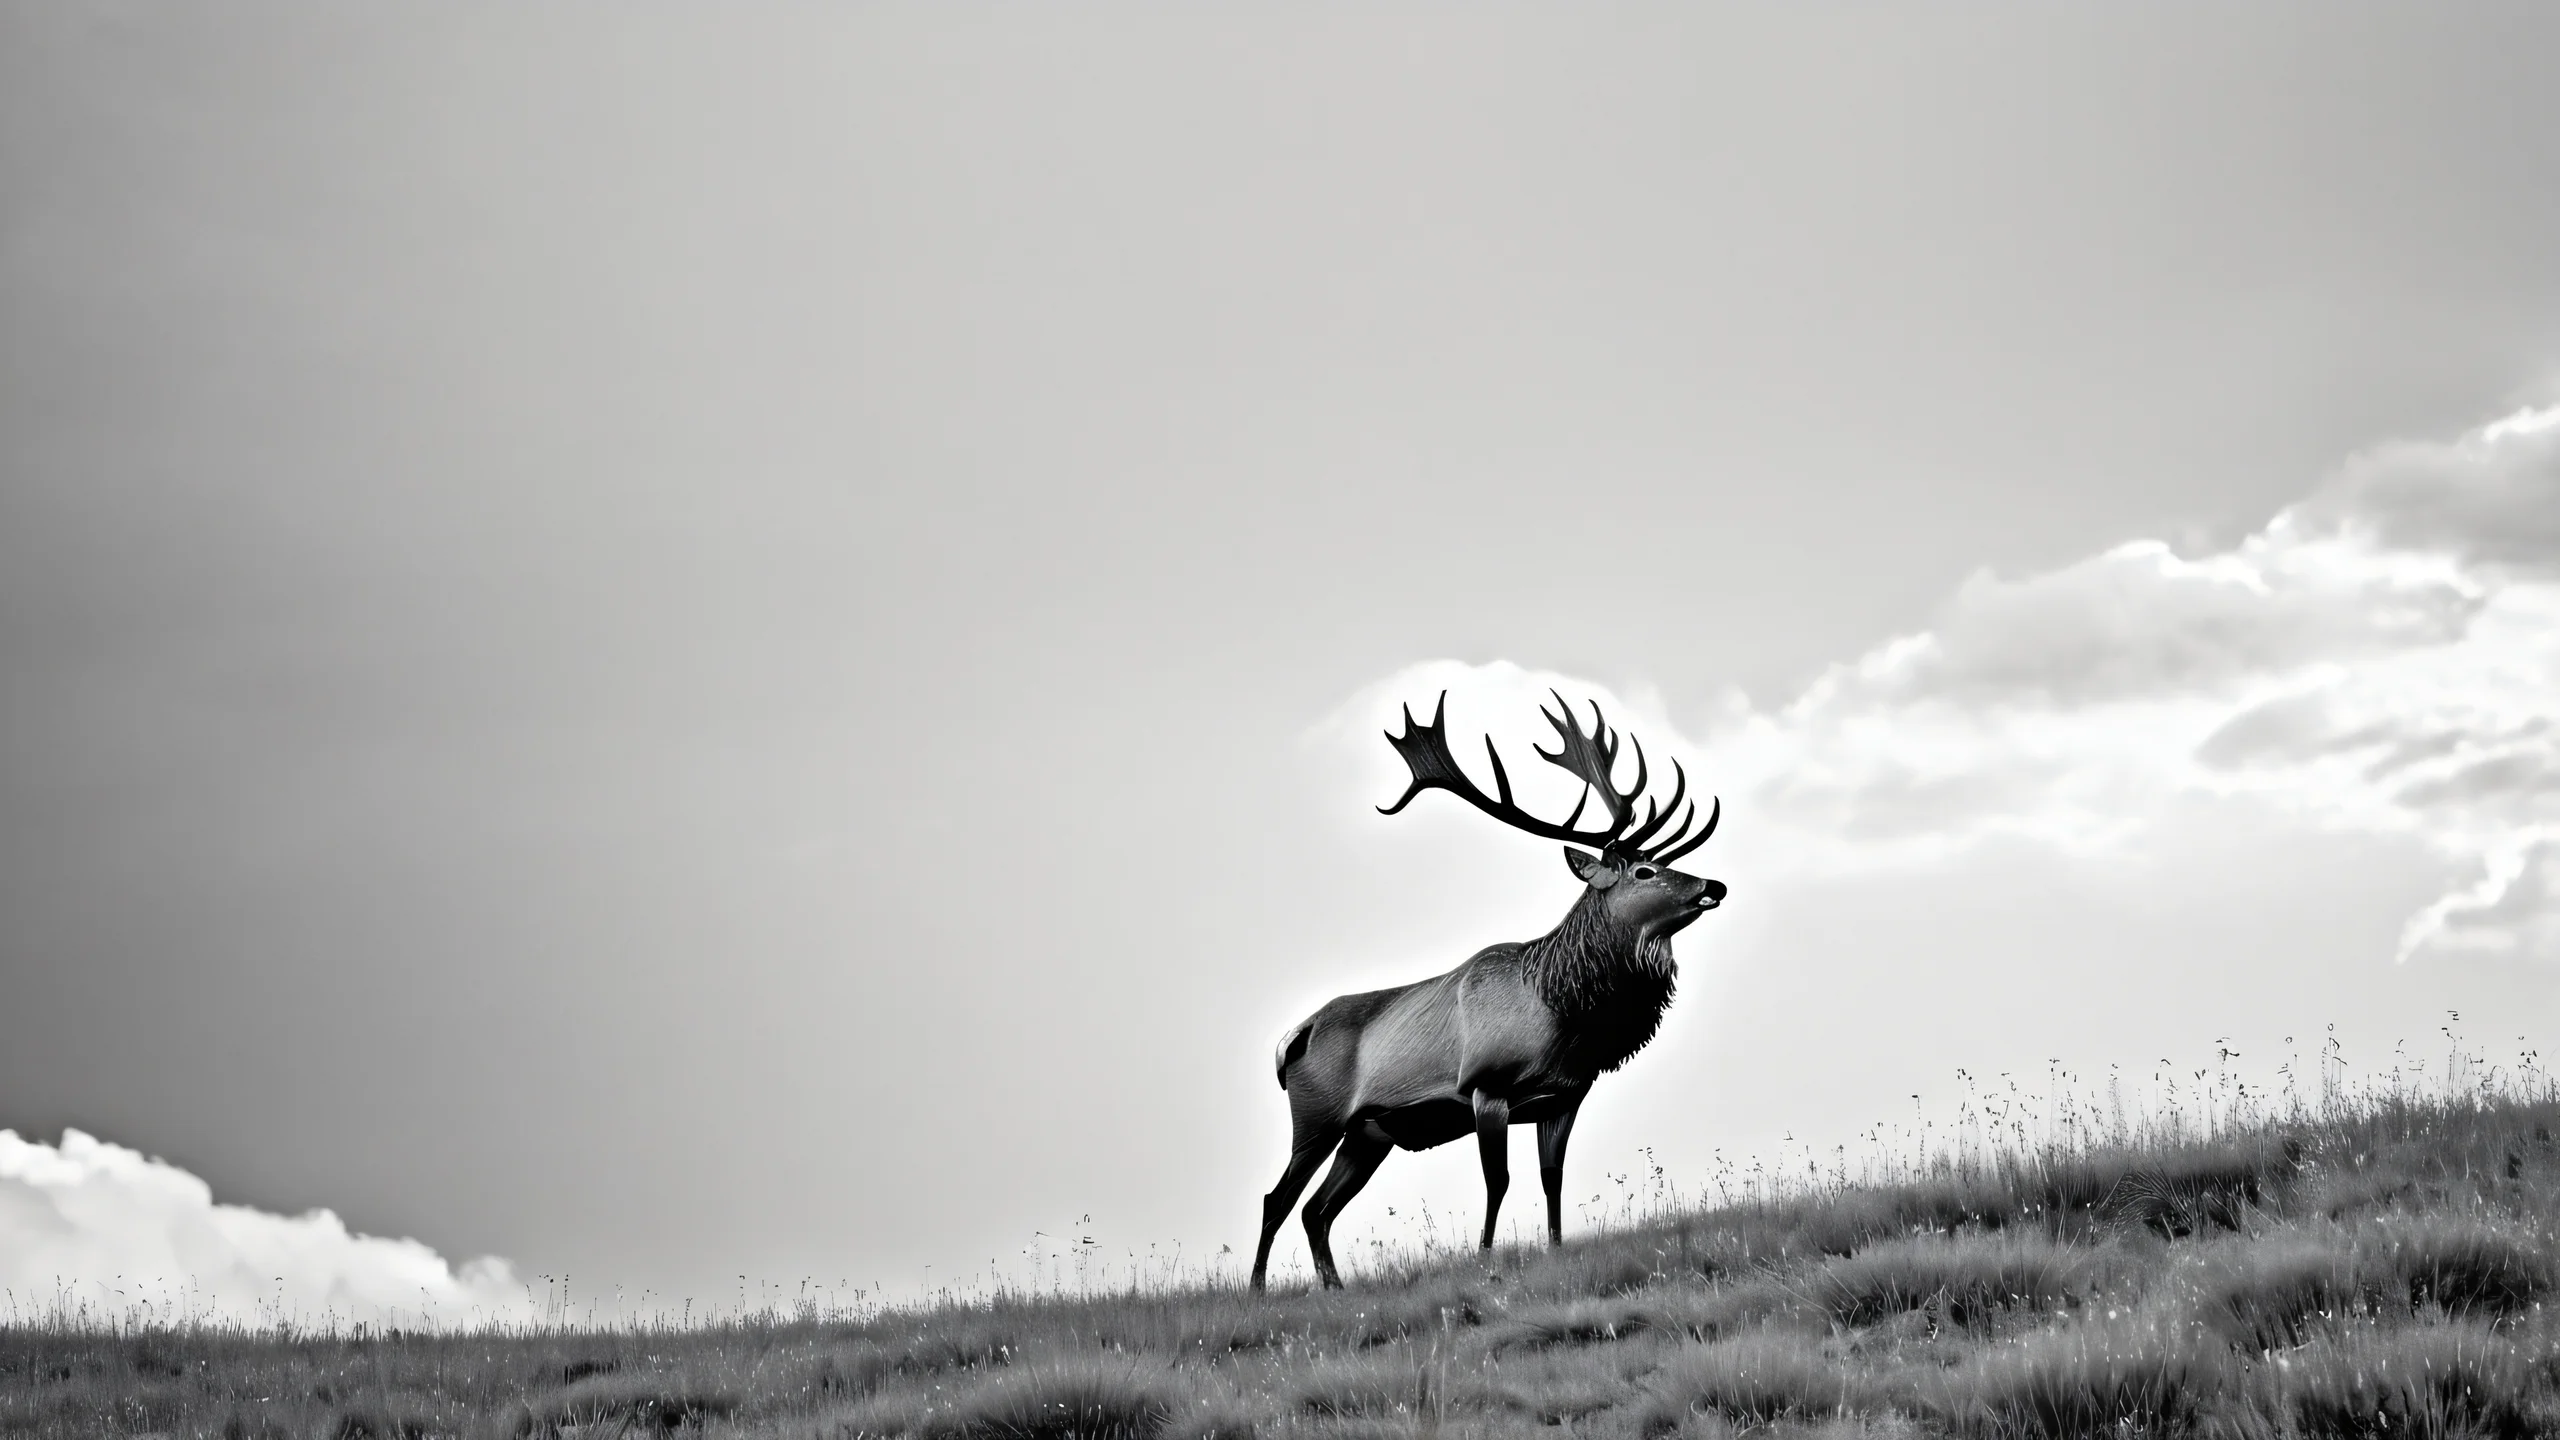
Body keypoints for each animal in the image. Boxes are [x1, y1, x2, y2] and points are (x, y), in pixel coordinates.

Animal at [1251, 690, 1726, 1291]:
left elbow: (1552, 1178)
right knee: (1276, 1199)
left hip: (1369, 1134)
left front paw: (1555, 1250)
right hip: (1317, 1117)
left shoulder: (1564, 1096)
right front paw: (1484, 1260)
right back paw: (1257, 1288)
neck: (1564, 1016)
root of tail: (1293, 1036)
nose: (1714, 885)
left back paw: (1332, 1288)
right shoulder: (1486, 1086)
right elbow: (1497, 1181)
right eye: (1644, 871)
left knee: (1317, 1210)